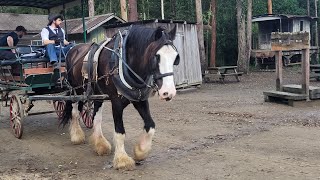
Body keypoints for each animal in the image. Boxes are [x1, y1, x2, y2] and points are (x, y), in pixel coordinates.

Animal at [61, 25, 179, 170]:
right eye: (156, 56)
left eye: (175, 57)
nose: (169, 92)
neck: (123, 62)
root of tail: (73, 48)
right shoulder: (116, 102)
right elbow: (120, 131)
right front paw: (122, 160)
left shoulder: (140, 99)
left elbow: (150, 126)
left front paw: (140, 151)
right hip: (76, 89)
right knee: (75, 112)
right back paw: (77, 136)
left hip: (96, 93)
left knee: (96, 117)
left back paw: (100, 144)